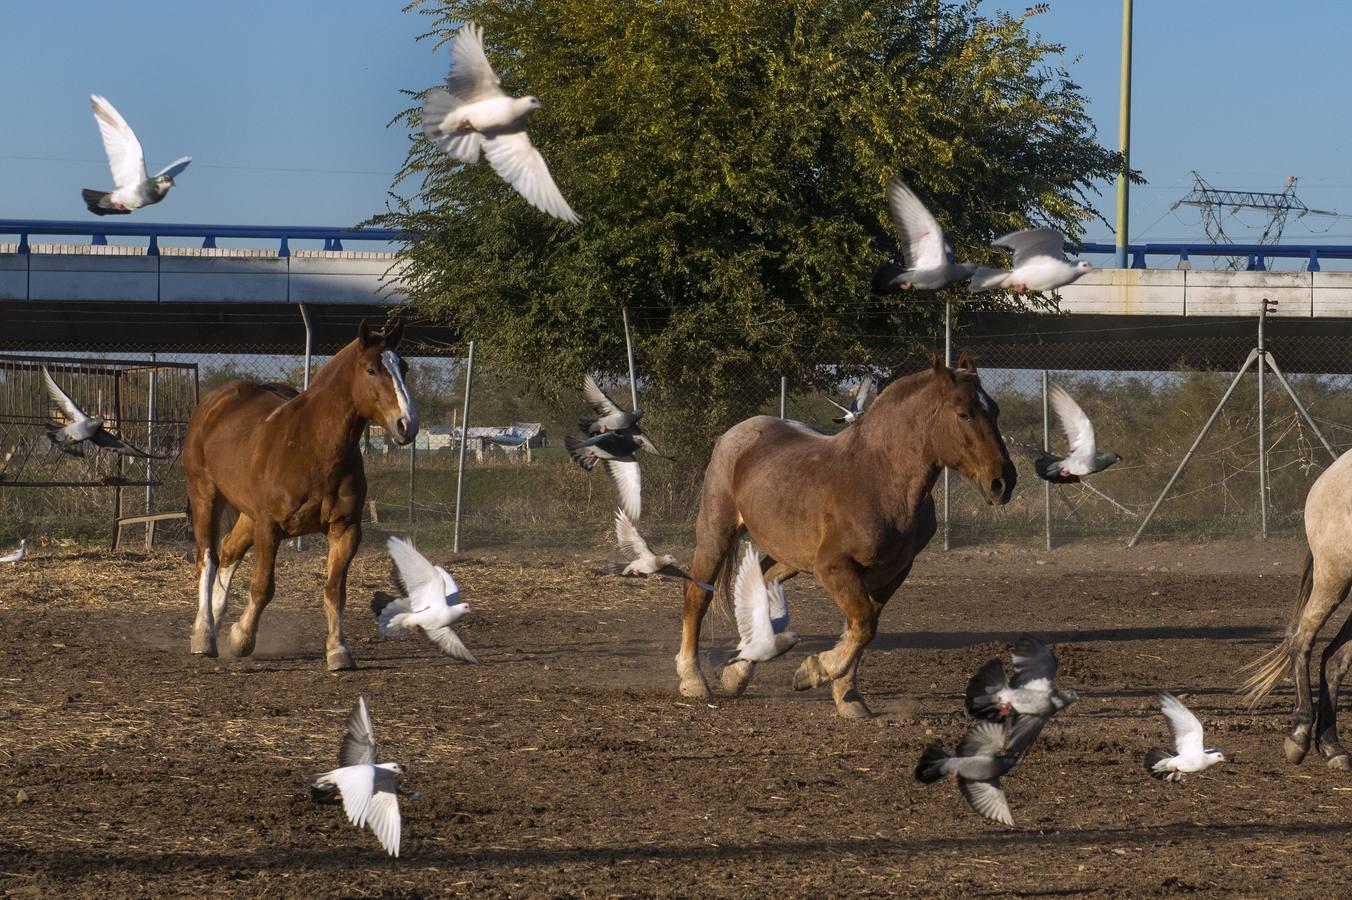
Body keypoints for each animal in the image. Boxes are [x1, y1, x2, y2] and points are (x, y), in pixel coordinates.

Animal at [185, 320, 416, 664]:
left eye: (404, 367)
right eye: (371, 369)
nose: (407, 425)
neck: (313, 446)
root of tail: (214, 403)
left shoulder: (345, 529)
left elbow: (335, 591)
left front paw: (338, 649)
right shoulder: (269, 527)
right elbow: (263, 587)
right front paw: (241, 639)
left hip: (248, 514)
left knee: (228, 550)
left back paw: (215, 617)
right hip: (206, 496)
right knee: (208, 558)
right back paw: (204, 634)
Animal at [676, 354, 1016, 713]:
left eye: (994, 410)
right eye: (964, 413)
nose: (1002, 482)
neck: (880, 478)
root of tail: (735, 434)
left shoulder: (889, 574)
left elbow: (861, 628)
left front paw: (847, 696)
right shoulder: (833, 567)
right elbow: (863, 624)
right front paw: (813, 671)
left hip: (790, 555)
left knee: (764, 581)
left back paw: (738, 671)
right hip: (716, 532)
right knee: (696, 593)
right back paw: (693, 680)